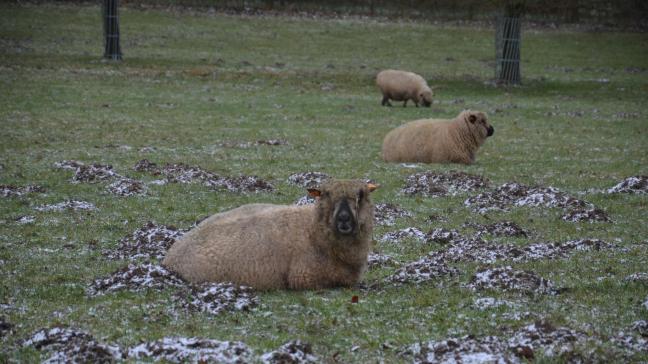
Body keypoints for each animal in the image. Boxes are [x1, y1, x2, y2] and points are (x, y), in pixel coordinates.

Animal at [161, 179, 380, 290]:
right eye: (326, 195)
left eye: (361, 196)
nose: (343, 219)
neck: (312, 229)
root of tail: (170, 257)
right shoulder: (305, 278)